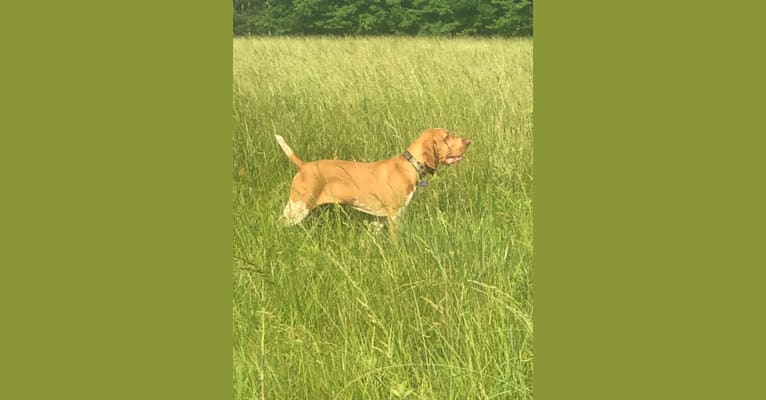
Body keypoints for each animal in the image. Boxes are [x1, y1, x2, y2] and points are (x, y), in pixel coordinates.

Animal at [272, 128, 472, 233]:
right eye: (447, 137)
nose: (468, 141)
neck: (410, 165)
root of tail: (304, 166)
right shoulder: (395, 215)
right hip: (298, 207)